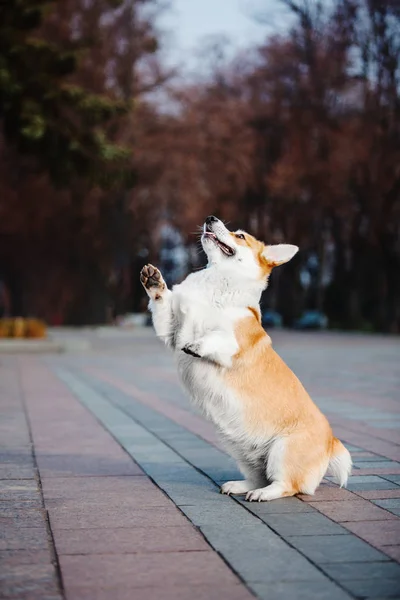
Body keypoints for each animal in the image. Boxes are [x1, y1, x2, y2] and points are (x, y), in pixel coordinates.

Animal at [140, 217, 350, 502]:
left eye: (239, 235)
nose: (211, 218)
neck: (217, 284)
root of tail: (332, 443)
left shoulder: (232, 344)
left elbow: (214, 337)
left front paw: (197, 345)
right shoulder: (171, 329)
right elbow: (162, 303)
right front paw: (154, 282)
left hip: (283, 450)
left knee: (286, 485)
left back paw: (263, 494)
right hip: (240, 450)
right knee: (258, 476)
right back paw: (238, 486)